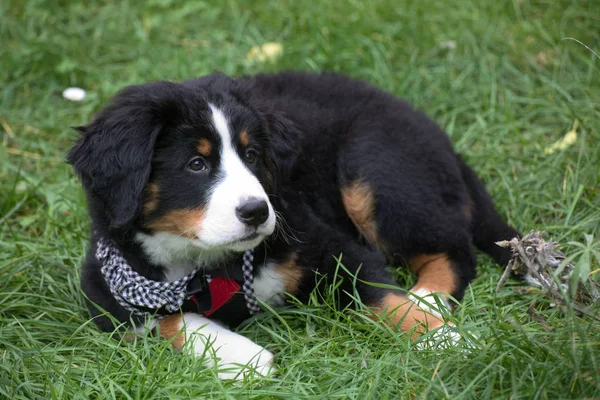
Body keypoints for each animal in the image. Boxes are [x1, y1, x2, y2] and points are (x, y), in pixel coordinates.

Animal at [68, 70, 516, 380]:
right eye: (196, 164)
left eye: (252, 155)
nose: (256, 212)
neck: (209, 263)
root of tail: (437, 135)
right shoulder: (107, 284)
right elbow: (169, 318)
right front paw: (243, 357)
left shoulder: (327, 245)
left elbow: (384, 298)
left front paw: (444, 339)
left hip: (373, 168)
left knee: (454, 249)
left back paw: (426, 297)